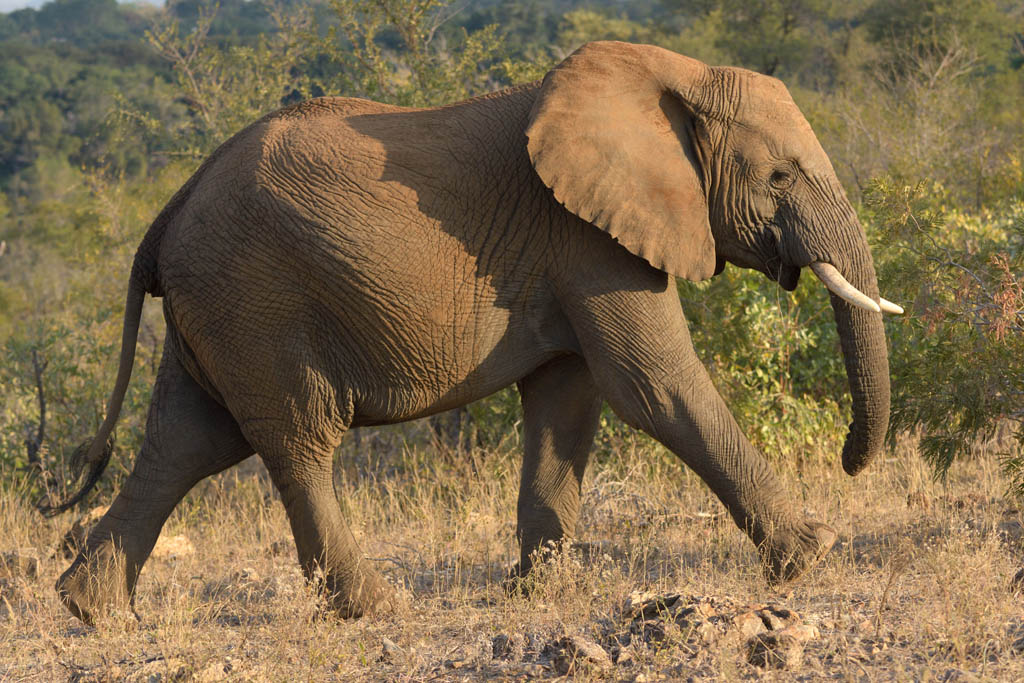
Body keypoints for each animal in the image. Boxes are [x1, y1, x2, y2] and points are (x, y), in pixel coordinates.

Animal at [47, 41, 902, 624]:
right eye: (781, 175)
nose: (851, 461)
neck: (670, 75)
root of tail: (171, 207)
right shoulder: (588, 238)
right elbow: (654, 384)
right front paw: (814, 553)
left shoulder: (575, 244)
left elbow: (568, 402)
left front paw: (543, 590)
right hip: (255, 300)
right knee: (297, 441)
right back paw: (378, 608)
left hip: (216, 309)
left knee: (186, 441)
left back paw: (94, 612)